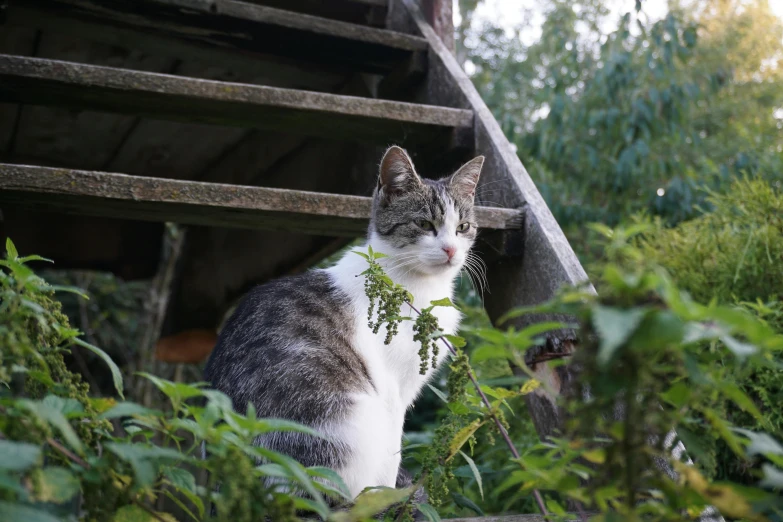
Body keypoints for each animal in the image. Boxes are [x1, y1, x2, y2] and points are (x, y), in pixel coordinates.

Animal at [204, 145, 484, 500]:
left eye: (462, 227)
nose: (450, 250)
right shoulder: (392, 389)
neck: (418, 285)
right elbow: (391, 452)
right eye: (424, 223)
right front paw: (387, 495)